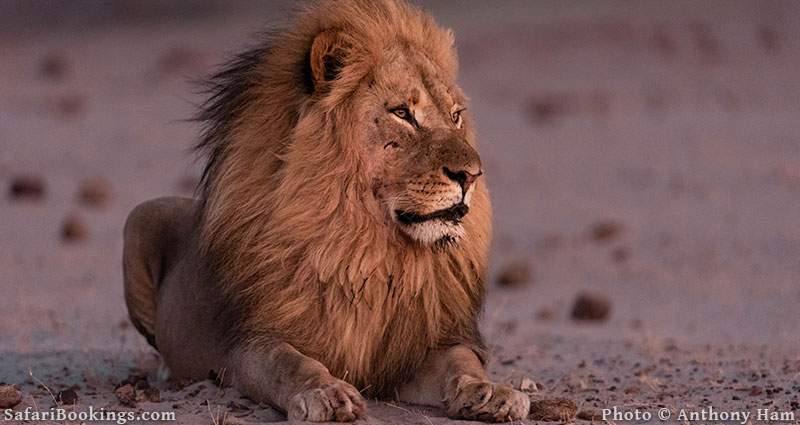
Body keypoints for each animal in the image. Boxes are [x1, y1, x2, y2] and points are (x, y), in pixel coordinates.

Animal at [123, 0, 532, 420]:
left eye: (455, 115)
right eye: (402, 113)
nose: (471, 175)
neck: (366, 248)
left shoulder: (414, 351)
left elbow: (461, 364)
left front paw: (490, 392)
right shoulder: (251, 343)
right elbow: (290, 363)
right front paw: (326, 393)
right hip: (140, 216)